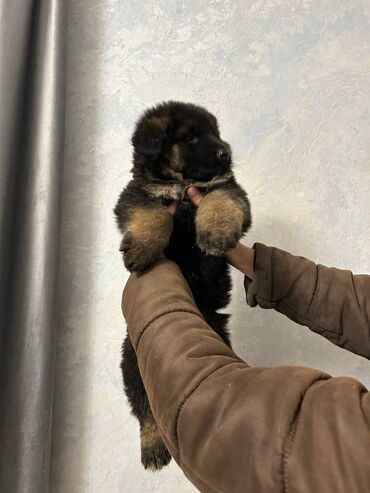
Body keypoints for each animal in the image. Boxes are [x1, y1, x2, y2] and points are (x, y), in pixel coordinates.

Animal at [114, 100, 250, 468]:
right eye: (189, 136)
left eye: (216, 132)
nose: (226, 153)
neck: (181, 184)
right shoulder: (135, 196)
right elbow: (153, 213)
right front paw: (143, 249)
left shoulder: (230, 190)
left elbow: (221, 199)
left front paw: (215, 234)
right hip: (132, 362)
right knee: (145, 408)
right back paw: (153, 446)